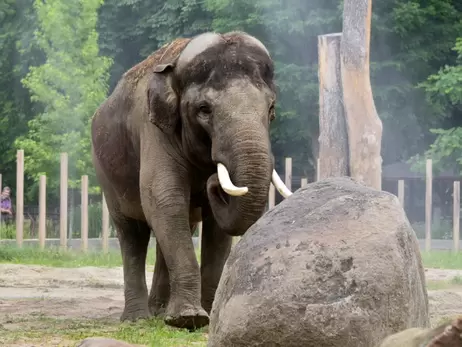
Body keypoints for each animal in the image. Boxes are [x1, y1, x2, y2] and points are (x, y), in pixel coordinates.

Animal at [90, 32, 292, 332]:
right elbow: (164, 198)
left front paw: (207, 317)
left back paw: (159, 312)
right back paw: (139, 318)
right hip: (106, 174)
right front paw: (189, 319)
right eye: (204, 109)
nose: (211, 182)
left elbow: (214, 227)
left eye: (271, 108)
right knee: (132, 233)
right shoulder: (154, 130)